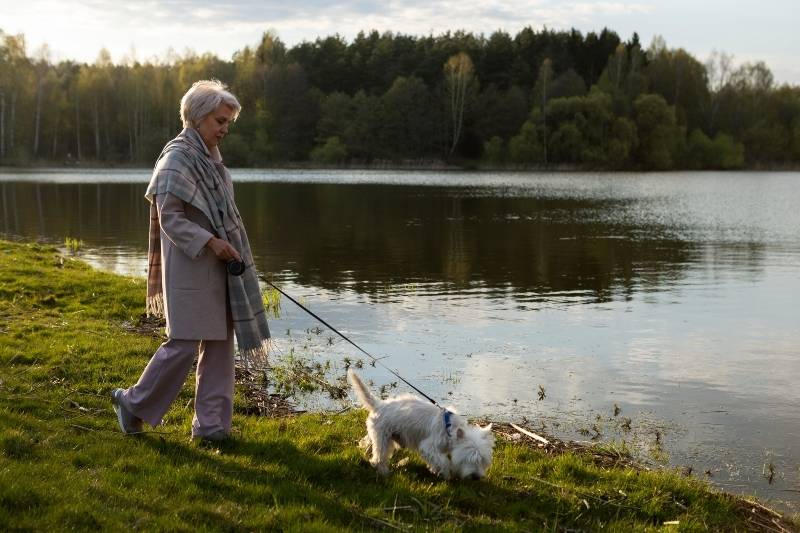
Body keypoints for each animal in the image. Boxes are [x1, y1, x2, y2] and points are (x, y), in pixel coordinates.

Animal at [348, 370, 494, 478]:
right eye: (470, 459)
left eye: (483, 460)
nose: (476, 477)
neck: (449, 429)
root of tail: (378, 404)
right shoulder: (429, 446)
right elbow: (443, 461)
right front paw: (445, 474)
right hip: (383, 438)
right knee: (379, 458)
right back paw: (384, 473)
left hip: (381, 435)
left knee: (369, 445)